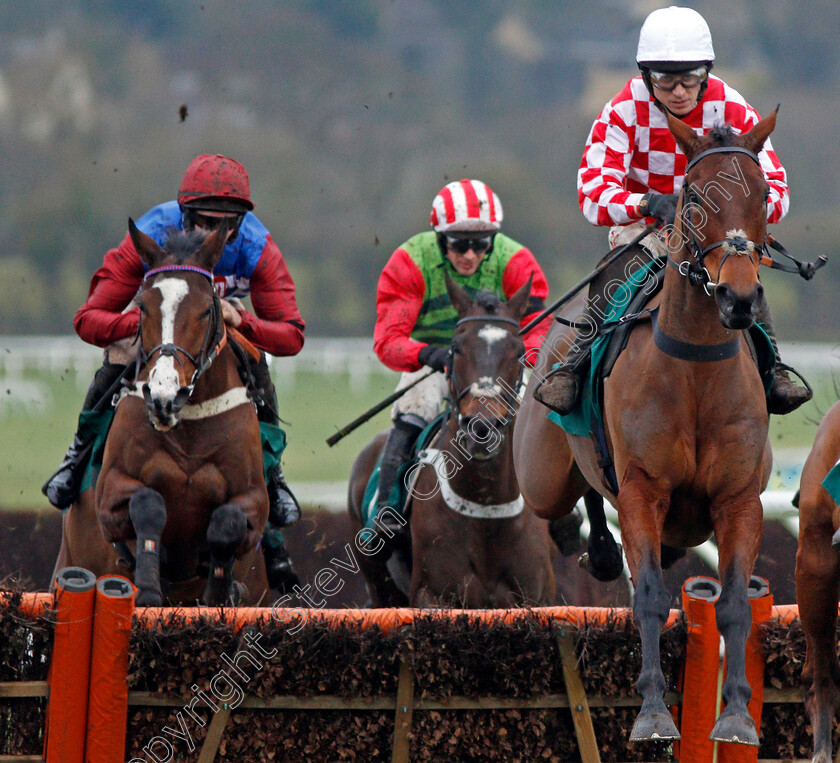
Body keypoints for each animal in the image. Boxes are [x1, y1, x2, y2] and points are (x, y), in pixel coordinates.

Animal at [512, 113, 780, 748]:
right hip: (541, 471)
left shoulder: (739, 499)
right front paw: (655, 715)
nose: (738, 297)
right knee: (564, 497)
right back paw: (588, 543)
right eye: (692, 198)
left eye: (762, 195)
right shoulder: (643, 490)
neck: (696, 368)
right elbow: (652, 597)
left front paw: (736, 716)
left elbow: (736, 602)